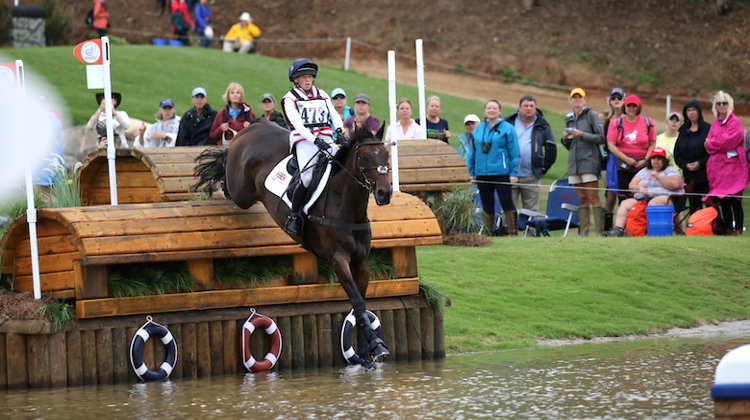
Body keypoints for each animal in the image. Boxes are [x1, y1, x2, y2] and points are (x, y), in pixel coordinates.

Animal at [192, 119, 394, 368]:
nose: (384, 193)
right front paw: (375, 345)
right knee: (231, 184)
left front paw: (368, 352)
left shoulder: (361, 262)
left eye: (386, 155)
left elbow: (361, 306)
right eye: (363, 157)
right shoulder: (338, 259)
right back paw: (222, 163)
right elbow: (357, 301)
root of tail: (255, 125)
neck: (347, 205)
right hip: (242, 192)